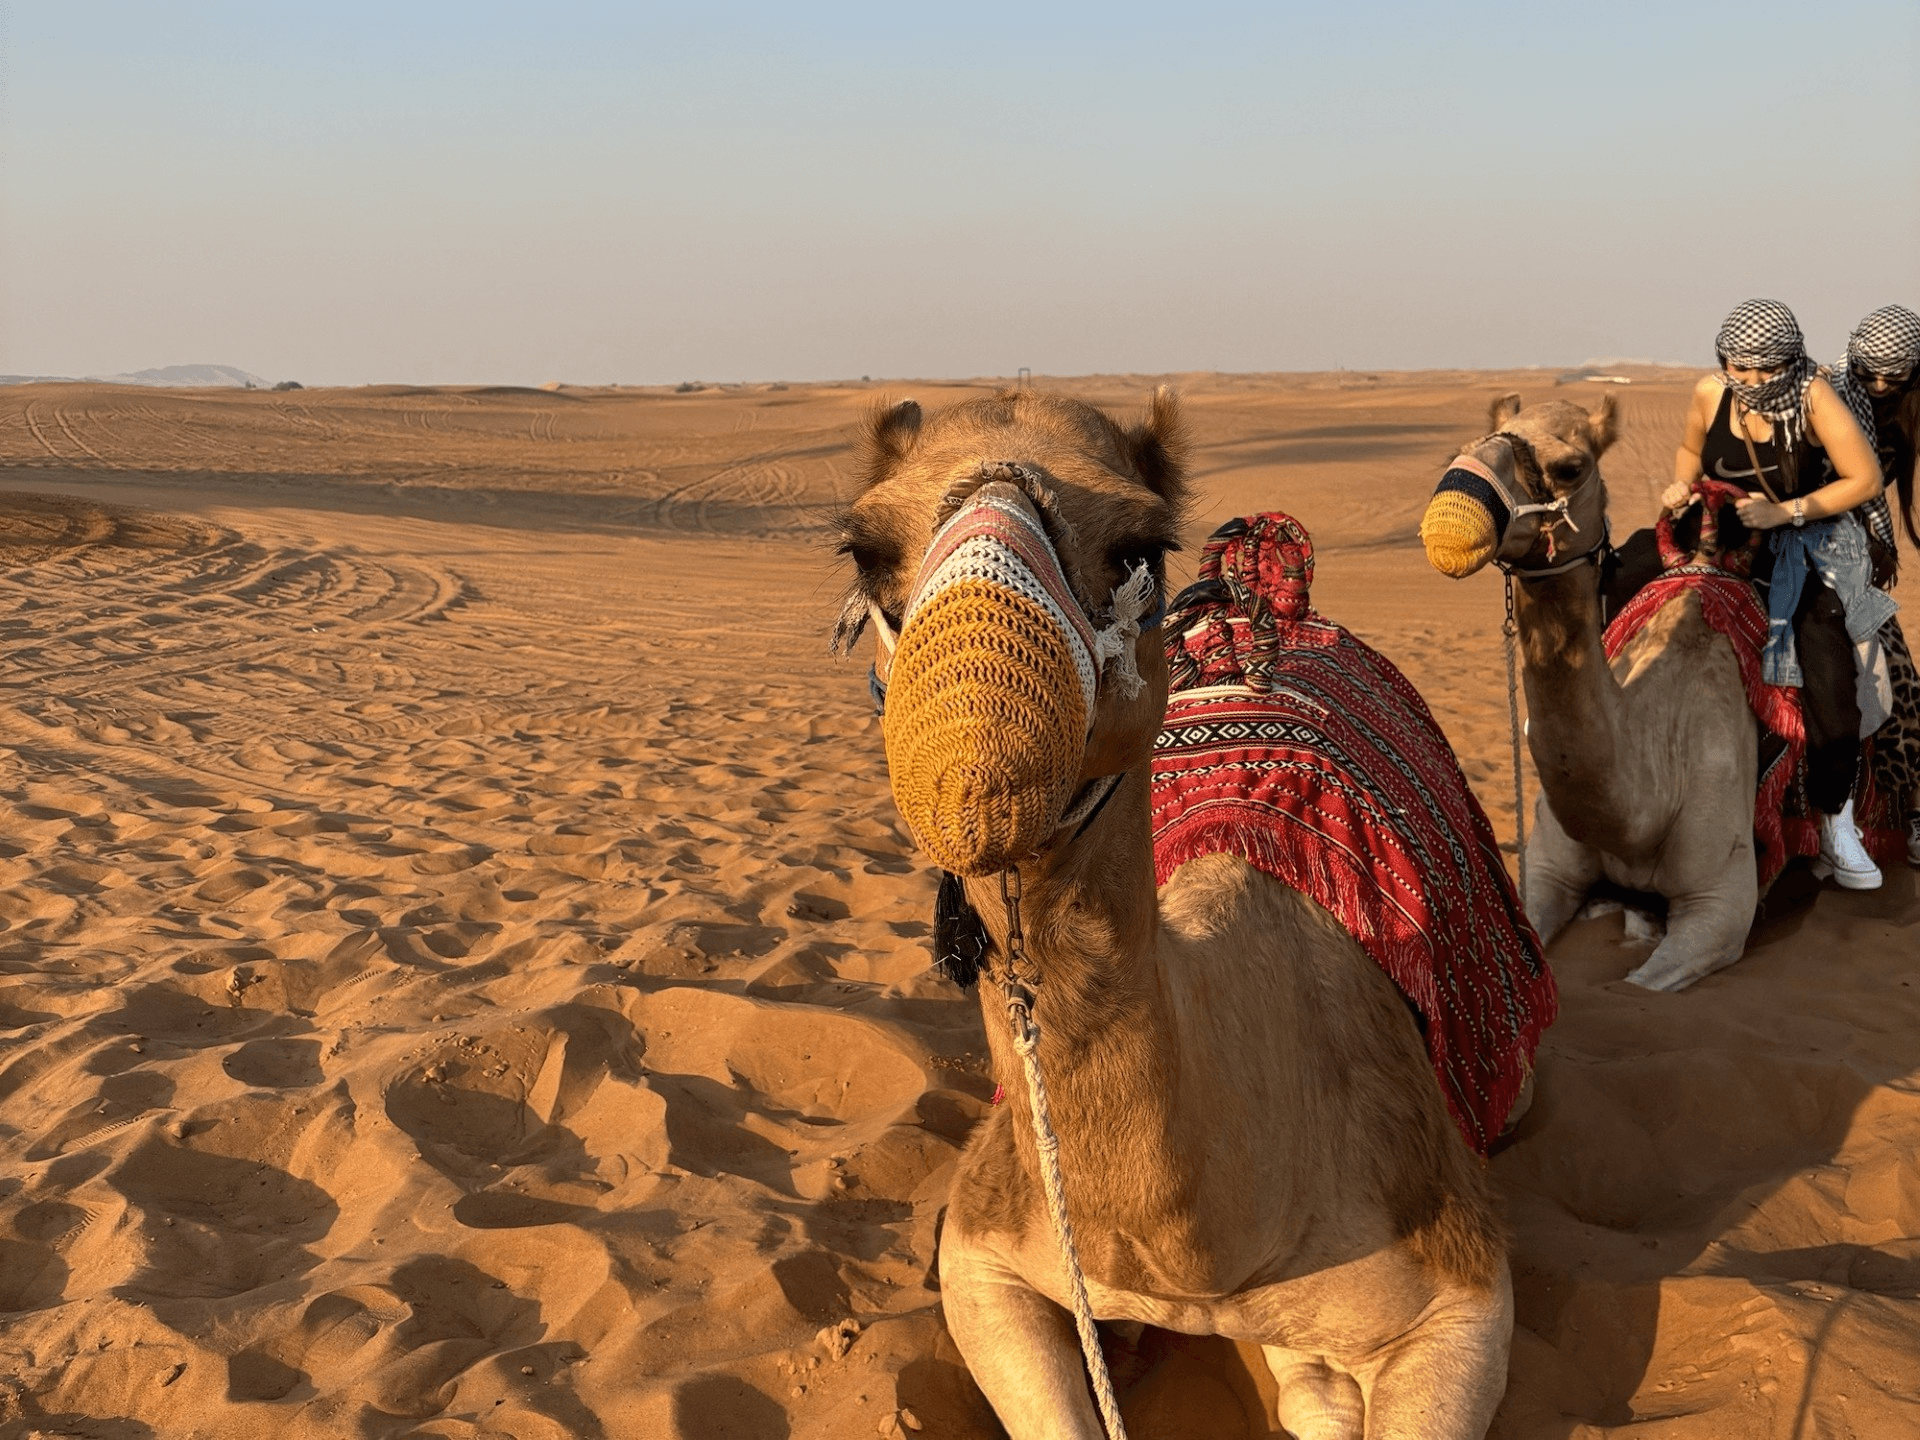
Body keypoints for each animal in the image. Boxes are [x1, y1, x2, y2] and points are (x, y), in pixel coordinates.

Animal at [833, 389, 1536, 1436]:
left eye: (1140, 546)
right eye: (865, 551)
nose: (974, 764)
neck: (1195, 1251)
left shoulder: (1463, 1291)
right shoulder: (984, 1246)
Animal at [1420, 395, 1758, 998]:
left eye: (1571, 467)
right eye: (1469, 444)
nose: (1449, 519)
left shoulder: (1721, 904)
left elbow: (1638, 986)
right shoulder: (1547, 870)